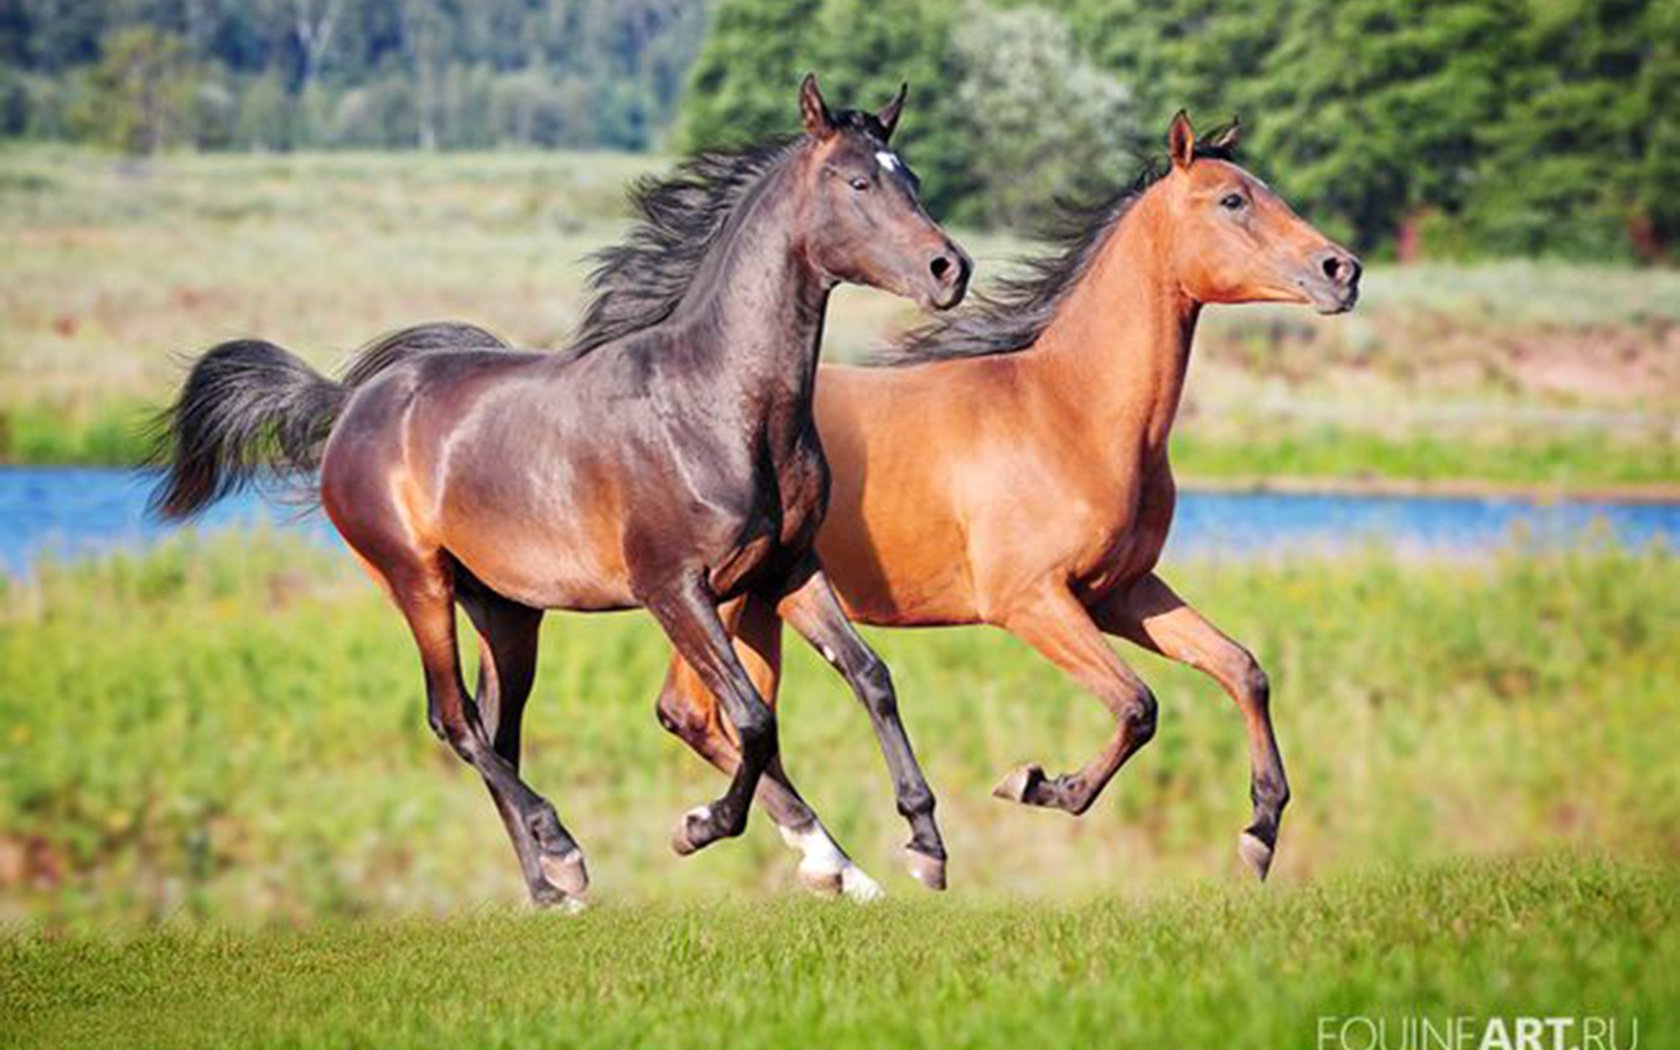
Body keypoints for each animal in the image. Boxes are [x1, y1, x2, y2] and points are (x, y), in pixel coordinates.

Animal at [152, 77, 981, 907]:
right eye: (858, 182)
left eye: (910, 176)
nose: (950, 269)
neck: (717, 402)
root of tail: (350, 402)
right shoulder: (673, 589)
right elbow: (750, 718)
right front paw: (700, 827)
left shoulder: (787, 569)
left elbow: (871, 677)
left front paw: (923, 844)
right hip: (417, 583)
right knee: (454, 721)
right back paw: (562, 848)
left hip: (506, 610)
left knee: (496, 729)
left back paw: (551, 888)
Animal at [655, 110, 1364, 887]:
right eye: (1233, 200)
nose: (1342, 270)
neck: (1071, 412)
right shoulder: (1031, 601)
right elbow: (1137, 704)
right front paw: (1036, 784)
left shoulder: (1121, 592)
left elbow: (1242, 669)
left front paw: (1260, 831)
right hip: (721, 598)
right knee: (695, 712)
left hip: (764, 600)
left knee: (721, 717)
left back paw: (826, 861)